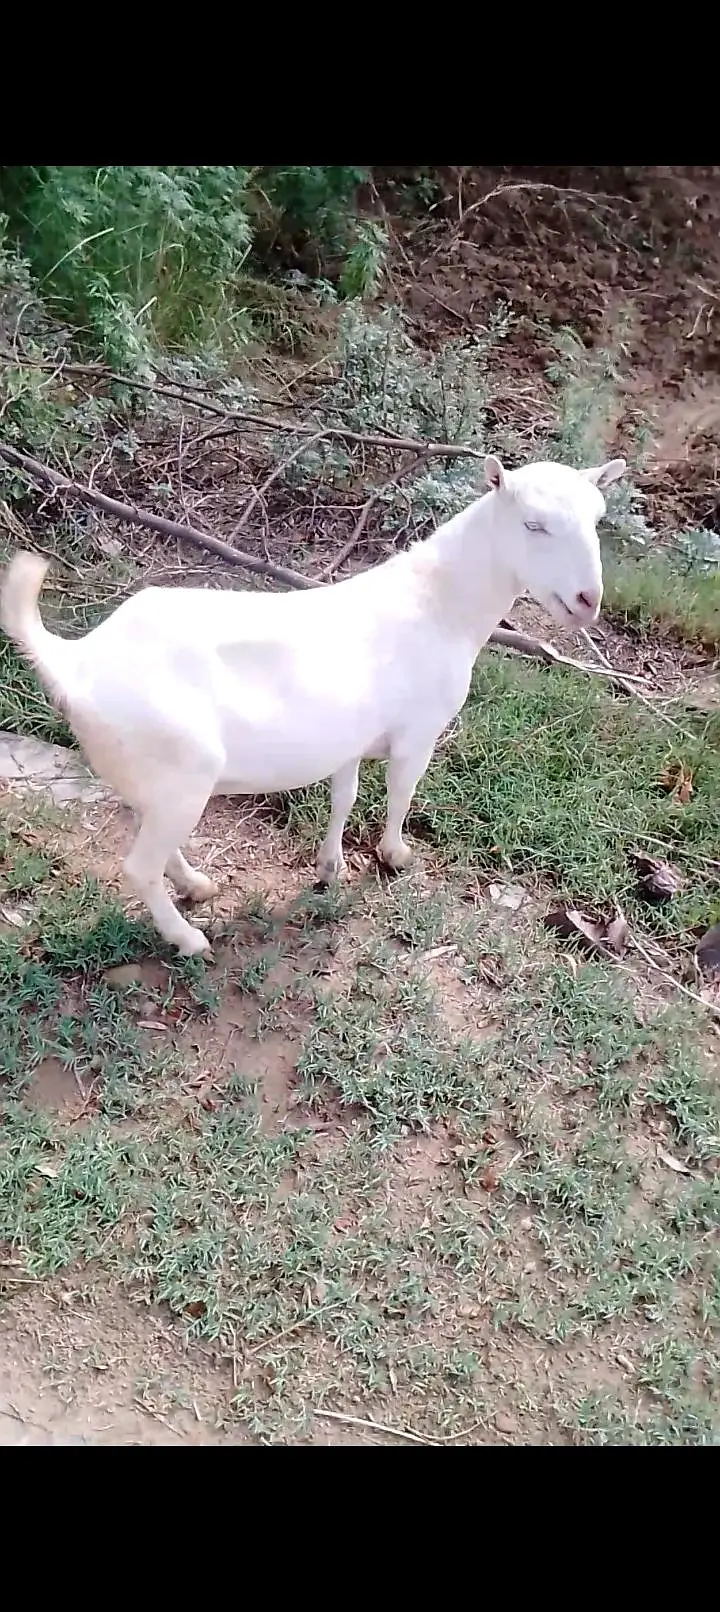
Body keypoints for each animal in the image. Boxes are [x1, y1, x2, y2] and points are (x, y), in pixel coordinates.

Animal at [1, 453, 625, 956]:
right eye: (533, 524)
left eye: (597, 520)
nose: (586, 600)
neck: (440, 603)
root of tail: (75, 658)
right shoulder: (418, 732)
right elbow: (400, 793)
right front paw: (394, 857)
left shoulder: (348, 736)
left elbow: (344, 795)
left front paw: (331, 867)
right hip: (182, 768)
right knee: (137, 866)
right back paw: (188, 937)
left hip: (145, 773)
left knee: (147, 833)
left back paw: (196, 885)